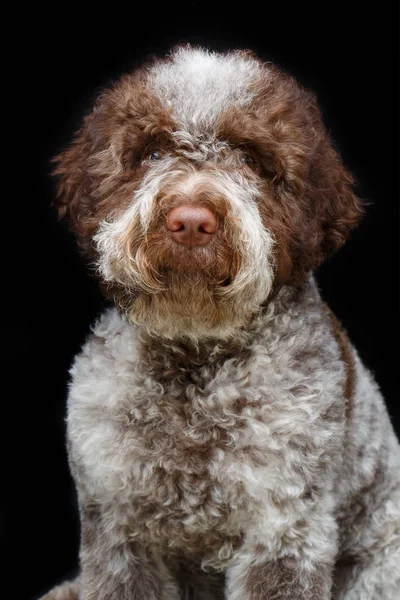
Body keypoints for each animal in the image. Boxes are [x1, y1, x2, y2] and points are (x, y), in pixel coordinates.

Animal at [41, 44, 400, 596]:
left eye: (251, 160)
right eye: (151, 154)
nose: (191, 221)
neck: (194, 364)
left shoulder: (285, 531)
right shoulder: (117, 529)